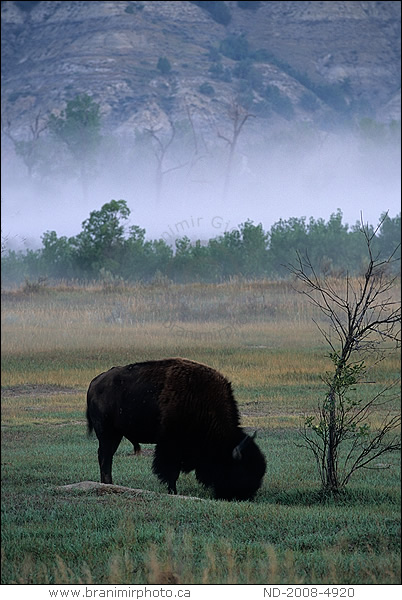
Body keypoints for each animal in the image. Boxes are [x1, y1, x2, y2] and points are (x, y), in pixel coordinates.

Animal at [86, 356, 266, 502]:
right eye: (240, 470)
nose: (246, 496)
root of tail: (94, 382)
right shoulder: (170, 446)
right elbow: (171, 472)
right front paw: (173, 492)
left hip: (115, 435)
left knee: (106, 456)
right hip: (107, 433)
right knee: (105, 457)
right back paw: (108, 484)